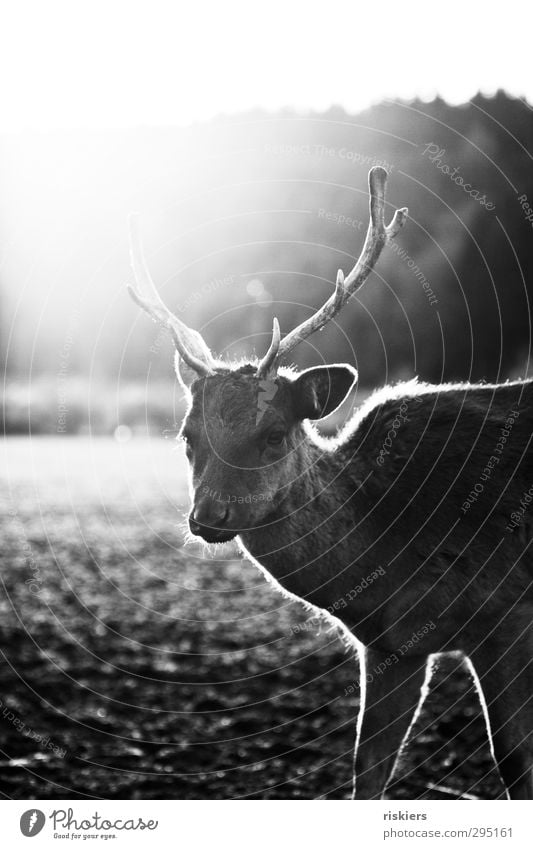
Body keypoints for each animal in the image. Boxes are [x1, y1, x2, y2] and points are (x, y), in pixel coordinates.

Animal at [128, 167, 532, 800]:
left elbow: (513, 760)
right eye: (188, 436)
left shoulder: (508, 615)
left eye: (274, 433)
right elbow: (367, 770)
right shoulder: (390, 644)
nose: (208, 517)